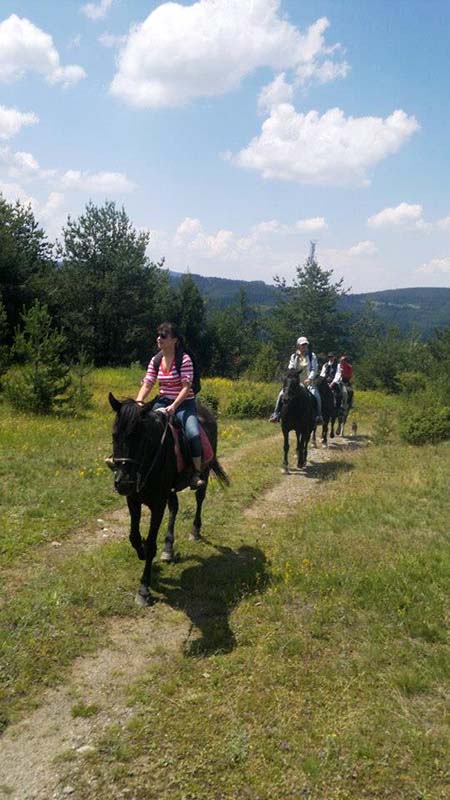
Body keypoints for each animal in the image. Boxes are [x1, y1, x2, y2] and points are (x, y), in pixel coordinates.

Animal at [107, 394, 230, 608]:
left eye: (142, 438)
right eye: (115, 435)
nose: (123, 483)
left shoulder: (157, 504)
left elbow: (150, 545)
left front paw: (144, 589)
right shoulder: (133, 499)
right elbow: (134, 537)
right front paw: (141, 550)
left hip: (203, 473)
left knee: (199, 499)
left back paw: (195, 531)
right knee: (175, 507)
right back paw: (168, 548)